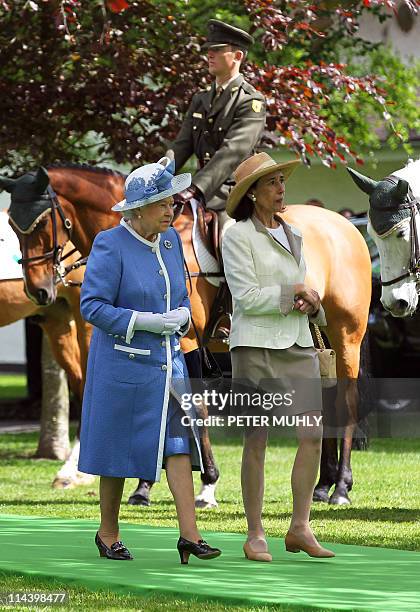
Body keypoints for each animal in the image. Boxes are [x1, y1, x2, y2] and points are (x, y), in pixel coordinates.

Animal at [2, 165, 370, 504]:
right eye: (13, 226)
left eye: (40, 223)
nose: (38, 291)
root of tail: (343, 224)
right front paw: (145, 485)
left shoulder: (189, 341)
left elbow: (193, 407)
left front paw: (206, 483)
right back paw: (322, 484)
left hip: (346, 334)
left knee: (346, 400)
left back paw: (341, 486)